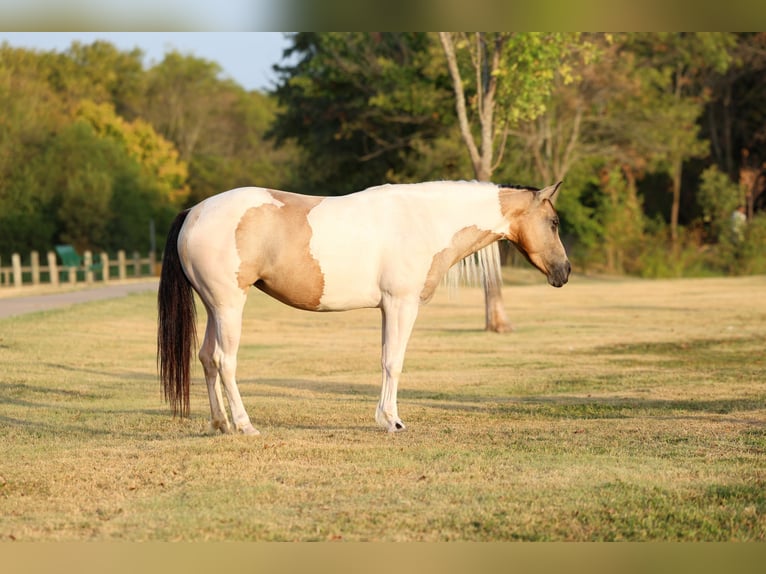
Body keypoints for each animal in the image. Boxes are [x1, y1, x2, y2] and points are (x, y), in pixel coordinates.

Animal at [157, 180, 570, 434]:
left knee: (207, 358)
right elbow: (393, 362)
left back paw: (221, 424)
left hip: (214, 307)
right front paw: (391, 421)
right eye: (553, 222)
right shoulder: (401, 304)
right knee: (225, 361)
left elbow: (385, 359)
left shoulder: (388, 308)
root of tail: (195, 211)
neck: (424, 219)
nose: (564, 271)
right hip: (230, 306)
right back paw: (244, 425)